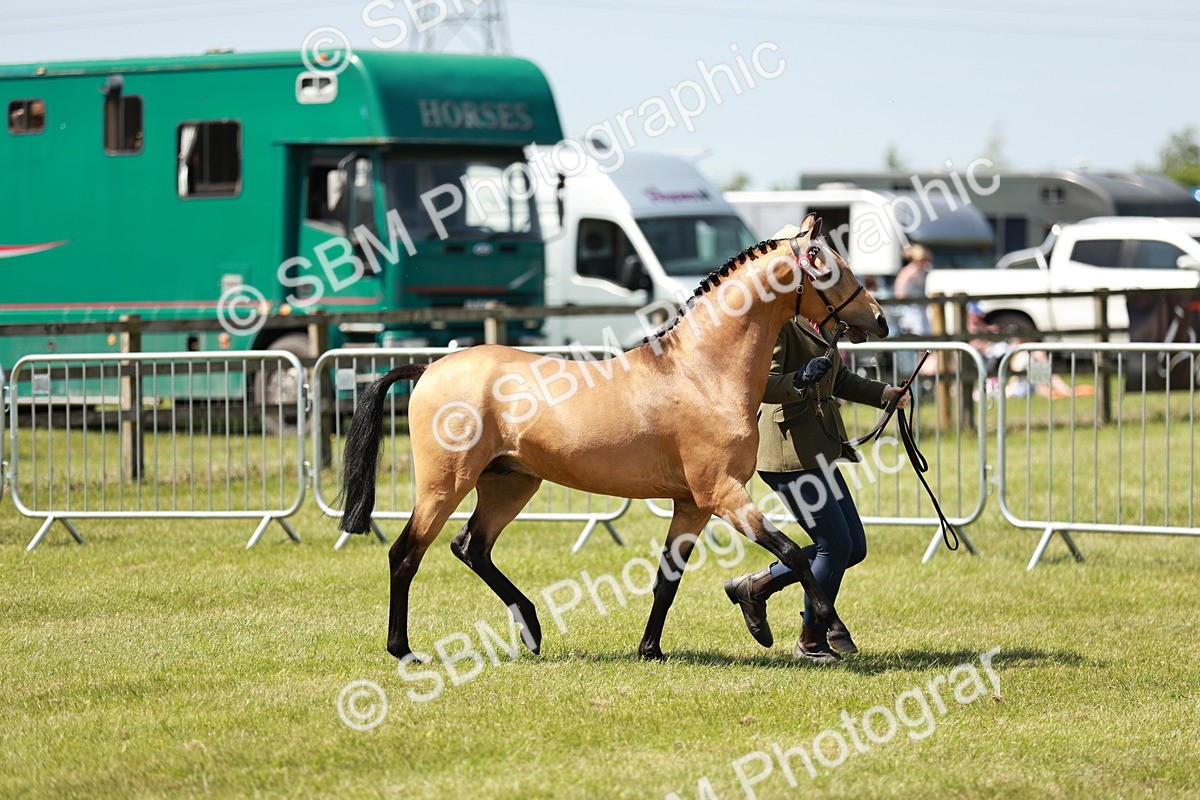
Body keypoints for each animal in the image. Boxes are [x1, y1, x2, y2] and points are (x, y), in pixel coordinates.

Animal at [338, 215, 890, 662]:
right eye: (827, 266)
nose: (880, 319)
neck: (703, 371)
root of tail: (429, 368)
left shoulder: (692, 505)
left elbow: (667, 579)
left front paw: (651, 649)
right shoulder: (723, 494)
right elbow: (793, 552)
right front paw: (830, 626)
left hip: (510, 483)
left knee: (471, 547)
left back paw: (531, 628)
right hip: (444, 484)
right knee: (406, 554)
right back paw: (404, 650)